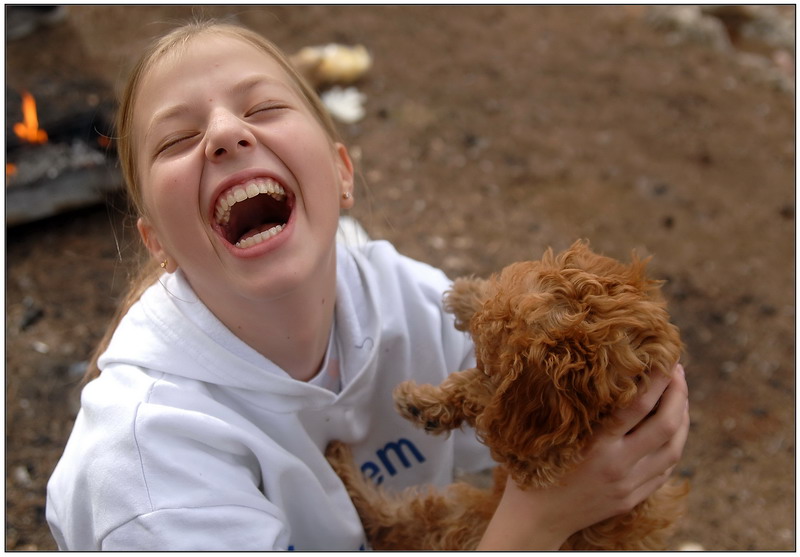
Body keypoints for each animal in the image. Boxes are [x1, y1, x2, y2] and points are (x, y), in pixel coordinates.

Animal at [324, 241, 688, 548]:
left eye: (490, 367)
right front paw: (471, 295)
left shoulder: (537, 456)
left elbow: (483, 403)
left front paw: (424, 403)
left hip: (460, 519)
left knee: (392, 520)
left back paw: (343, 459)